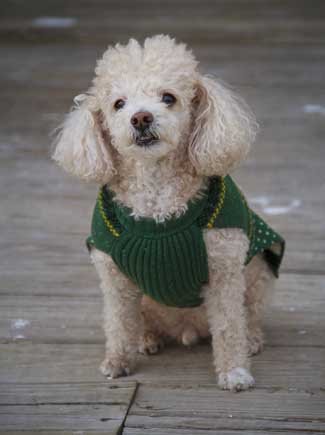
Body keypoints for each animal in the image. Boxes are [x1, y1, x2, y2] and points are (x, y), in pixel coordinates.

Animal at [53, 35, 274, 392]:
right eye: (118, 104)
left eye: (168, 98)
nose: (141, 118)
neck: (156, 193)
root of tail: (185, 328)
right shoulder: (114, 277)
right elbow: (117, 322)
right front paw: (117, 363)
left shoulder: (224, 269)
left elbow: (229, 327)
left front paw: (235, 372)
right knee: (138, 321)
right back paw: (146, 339)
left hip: (257, 270)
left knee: (248, 315)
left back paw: (252, 339)